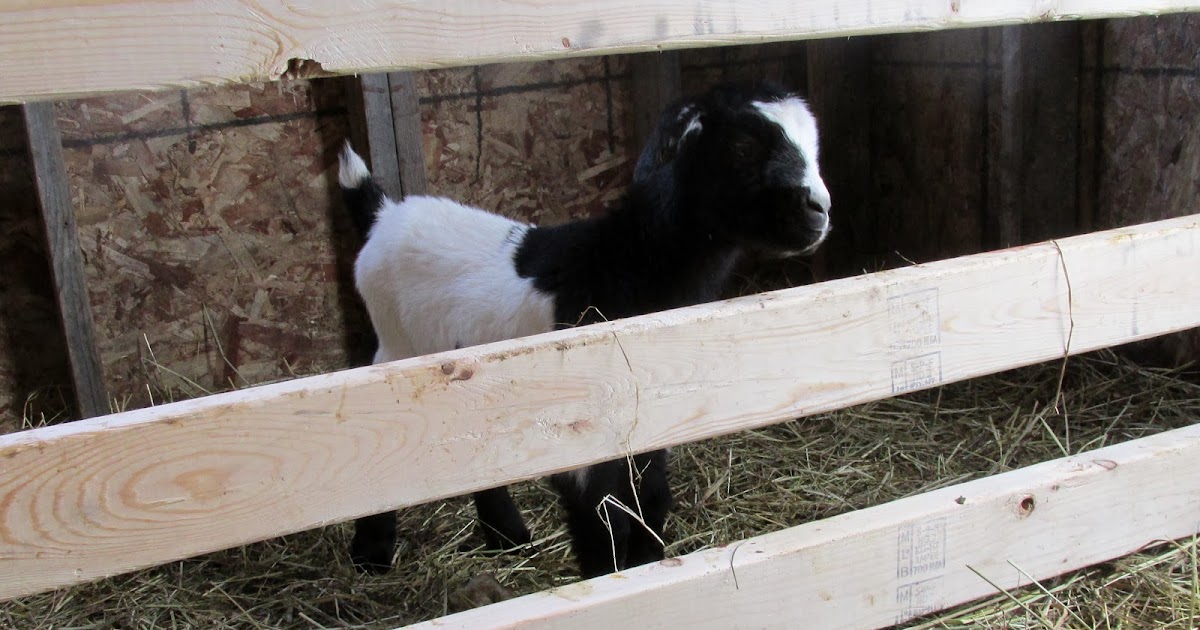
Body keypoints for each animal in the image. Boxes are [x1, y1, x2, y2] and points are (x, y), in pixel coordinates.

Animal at [338, 80, 832, 578]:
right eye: (742, 147)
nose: (819, 211)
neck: (623, 262)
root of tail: (384, 213)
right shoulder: (584, 427)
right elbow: (602, 520)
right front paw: (608, 583)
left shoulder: (652, 414)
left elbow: (651, 498)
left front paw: (646, 567)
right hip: (394, 347)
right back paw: (372, 555)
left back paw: (507, 538)